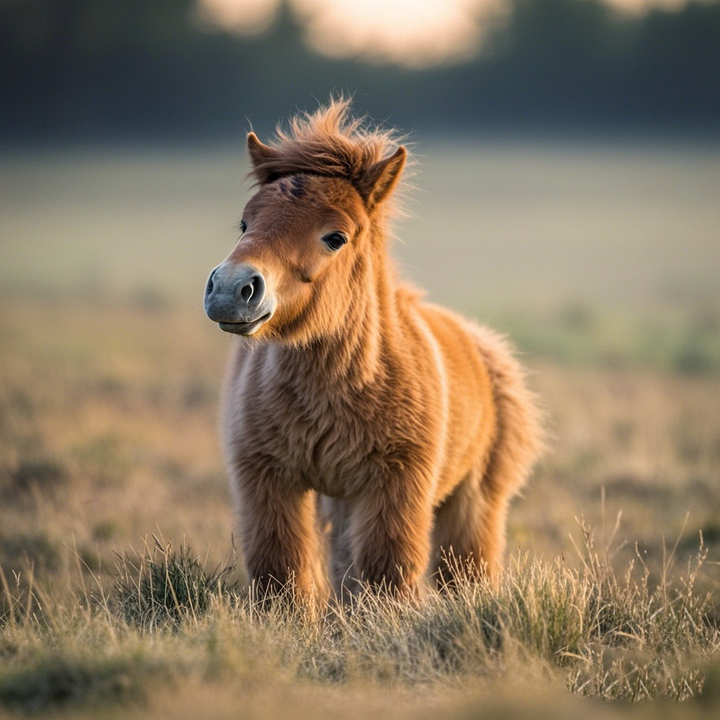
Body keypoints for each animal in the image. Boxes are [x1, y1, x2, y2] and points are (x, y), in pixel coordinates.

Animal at [204, 99, 543, 603]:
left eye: (335, 237)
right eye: (246, 223)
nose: (231, 289)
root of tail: (482, 346)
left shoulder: (396, 488)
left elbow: (388, 575)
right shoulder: (267, 482)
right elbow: (281, 577)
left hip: (472, 505)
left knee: (465, 572)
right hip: (341, 502)